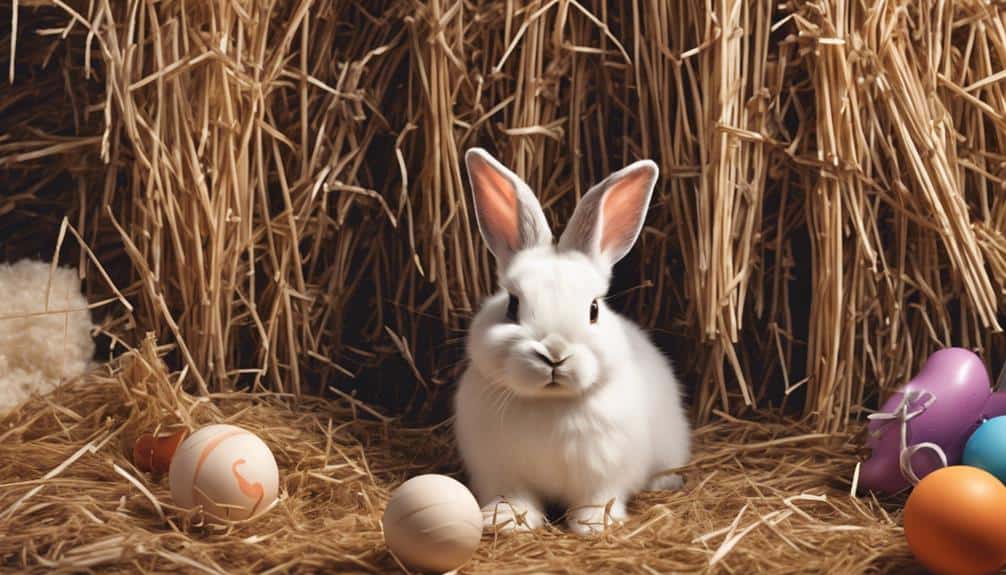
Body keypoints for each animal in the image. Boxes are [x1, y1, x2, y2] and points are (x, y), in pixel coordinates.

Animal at [453, 148, 691, 536]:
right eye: (512, 305)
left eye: (593, 309)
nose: (554, 353)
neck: (550, 404)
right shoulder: (501, 473)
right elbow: (514, 498)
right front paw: (506, 521)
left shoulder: (604, 475)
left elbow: (597, 499)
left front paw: (594, 525)